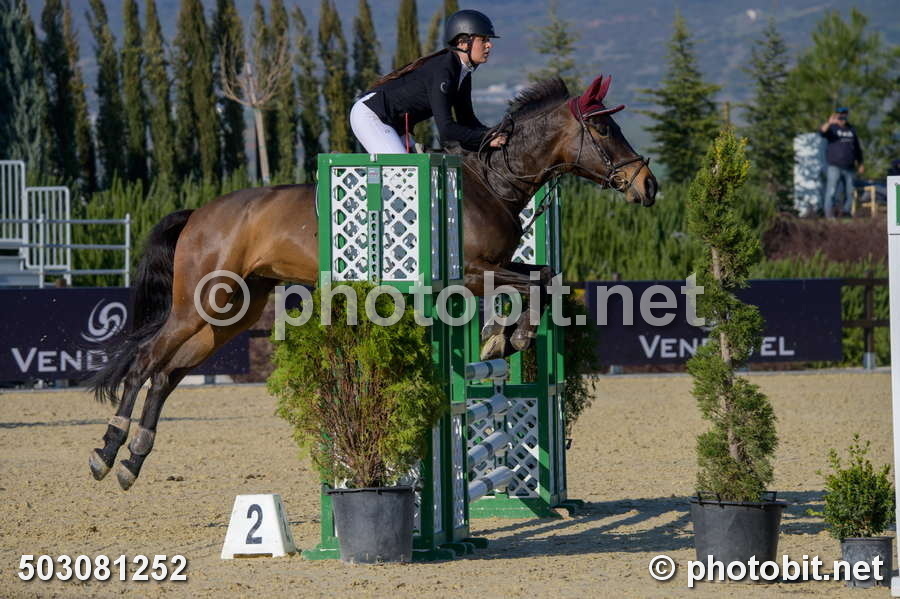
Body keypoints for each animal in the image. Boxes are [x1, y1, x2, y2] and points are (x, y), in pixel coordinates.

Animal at [87, 75, 658, 490]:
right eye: (605, 132)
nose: (647, 186)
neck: (489, 181)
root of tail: (199, 213)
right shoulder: (470, 274)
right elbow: (534, 287)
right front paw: (504, 337)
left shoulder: (498, 268)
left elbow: (546, 281)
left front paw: (506, 336)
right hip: (199, 303)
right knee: (145, 361)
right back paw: (107, 451)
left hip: (233, 312)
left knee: (167, 374)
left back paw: (133, 460)